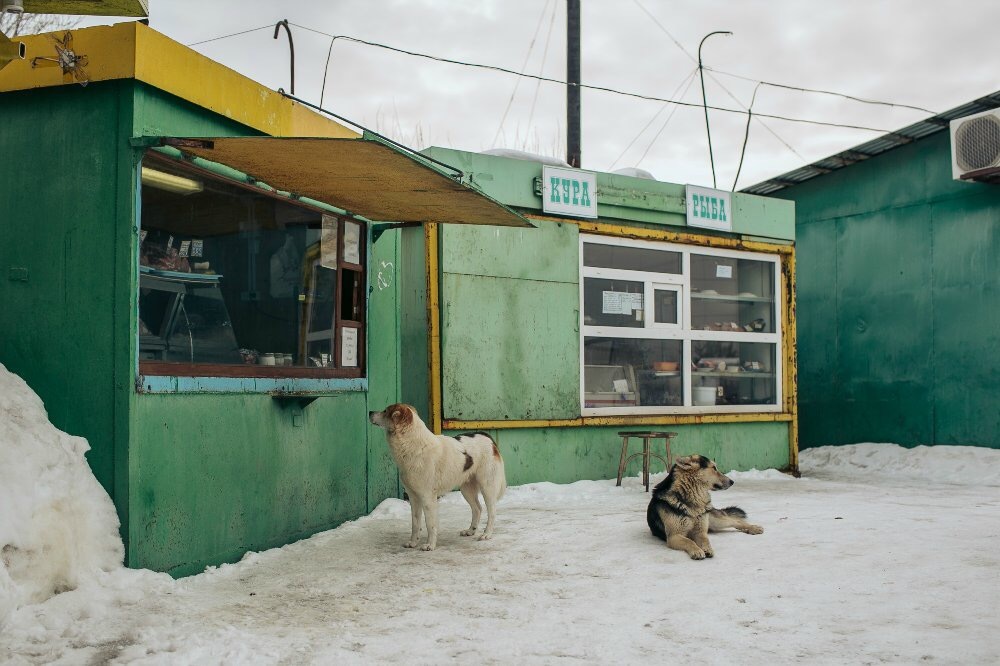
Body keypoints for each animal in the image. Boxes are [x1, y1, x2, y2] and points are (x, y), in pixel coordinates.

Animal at [370, 402, 508, 548]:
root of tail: (486, 436)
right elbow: (415, 523)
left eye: (385, 411)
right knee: (477, 509)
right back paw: (471, 530)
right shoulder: (413, 496)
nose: (370, 412)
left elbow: (430, 524)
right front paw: (413, 542)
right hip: (467, 489)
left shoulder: (427, 497)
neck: (414, 446)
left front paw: (430, 545)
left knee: (492, 512)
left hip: (487, 487)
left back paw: (487, 534)